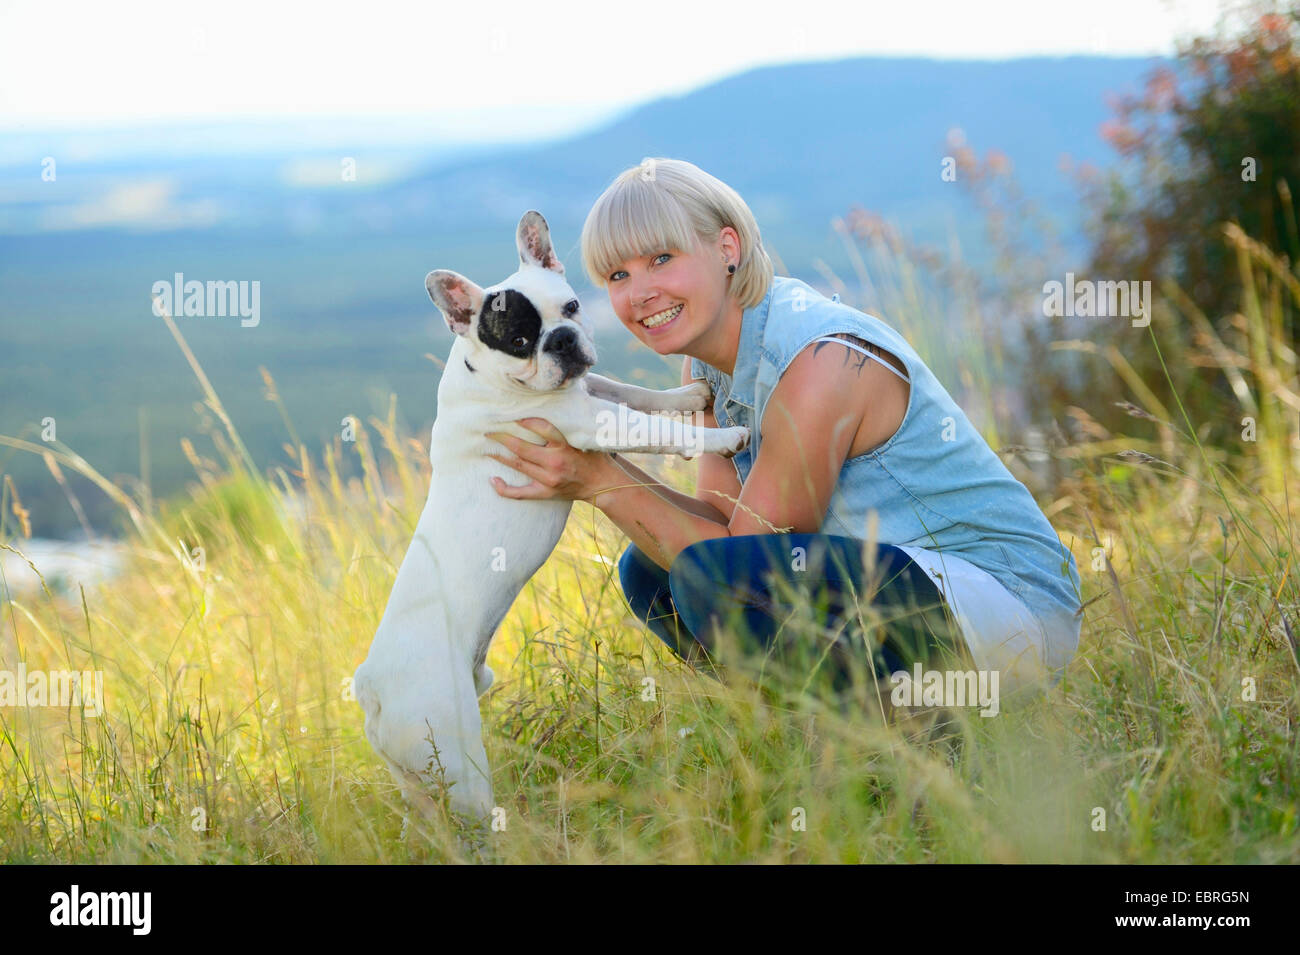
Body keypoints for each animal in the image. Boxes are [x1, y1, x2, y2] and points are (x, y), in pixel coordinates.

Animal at [356, 213, 754, 826]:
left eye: (571, 307)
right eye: (520, 341)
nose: (561, 341)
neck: (488, 375)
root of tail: (371, 690)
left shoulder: (588, 389)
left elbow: (631, 392)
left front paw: (687, 394)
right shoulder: (588, 419)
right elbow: (654, 430)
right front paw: (721, 436)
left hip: (419, 781)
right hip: (457, 759)